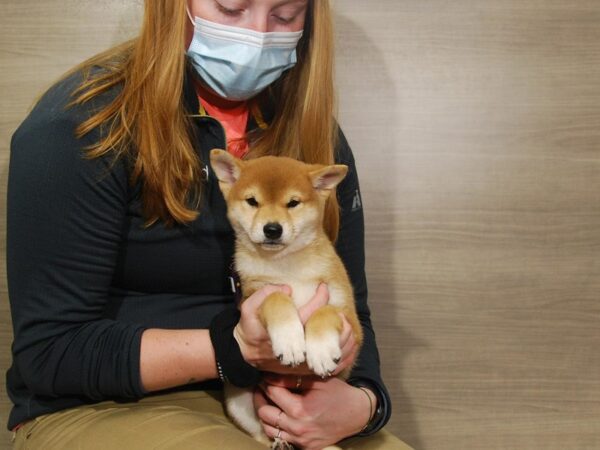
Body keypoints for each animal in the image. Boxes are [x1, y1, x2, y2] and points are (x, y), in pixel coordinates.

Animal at [209, 149, 364, 448]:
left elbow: (325, 312)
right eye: (252, 201)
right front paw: (290, 340)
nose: (272, 229)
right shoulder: (253, 296)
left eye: (293, 203)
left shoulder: (350, 317)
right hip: (237, 398)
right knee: (263, 434)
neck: (287, 266)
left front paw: (321, 349)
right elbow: (277, 299)